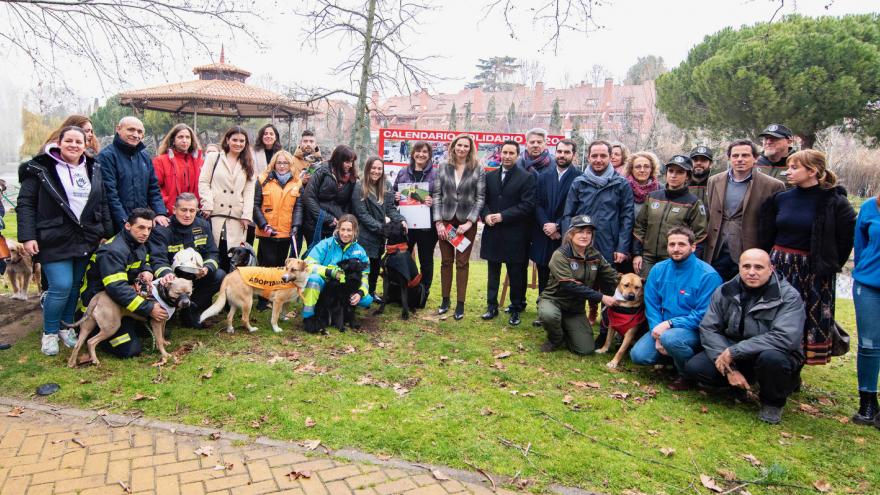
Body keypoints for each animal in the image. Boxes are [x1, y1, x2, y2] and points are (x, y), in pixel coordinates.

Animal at [65, 278, 194, 370]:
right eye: (177, 293)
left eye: (189, 292)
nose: (186, 303)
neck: (163, 294)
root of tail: (98, 297)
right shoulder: (156, 322)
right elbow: (159, 340)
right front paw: (165, 354)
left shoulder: (162, 322)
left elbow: (161, 336)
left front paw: (164, 342)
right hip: (111, 327)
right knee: (91, 342)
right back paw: (95, 360)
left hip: (87, 326)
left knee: (78, 344)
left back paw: (72, 363)